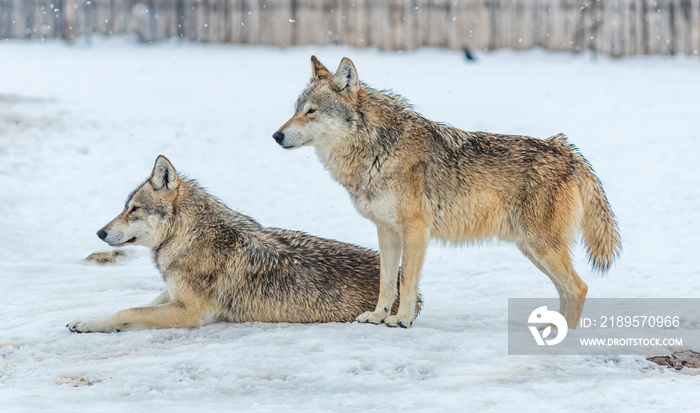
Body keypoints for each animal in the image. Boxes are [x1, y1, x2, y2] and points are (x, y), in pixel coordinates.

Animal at [65, 154, 416, 332]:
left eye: (133, 209)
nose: (99, 233)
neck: (187, 237)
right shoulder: (173, 294)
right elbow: (134, 306)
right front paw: (88, 321)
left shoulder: (189, 312)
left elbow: (128, 309)